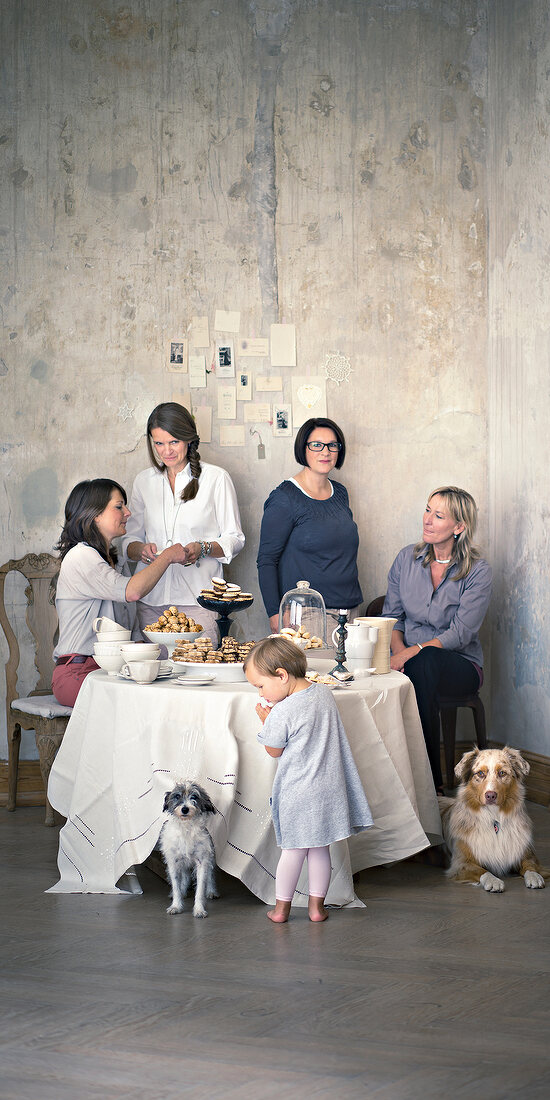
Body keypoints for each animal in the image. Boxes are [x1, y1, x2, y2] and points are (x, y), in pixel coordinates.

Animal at [158, 783, 217, 919]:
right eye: (177, 796)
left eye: (194, 796)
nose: (185, 809)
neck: (186, 828)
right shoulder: (173, 863)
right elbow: (176, 887)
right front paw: (176, 906)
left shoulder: (202, 862)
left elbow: (200, 889)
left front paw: (199, 909)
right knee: (184, 877)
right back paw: (183, 891)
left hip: (210, 859)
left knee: (210, 875)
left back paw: (211, 891)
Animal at [437, 748, 545, 893]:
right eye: (480, 773)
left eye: (502, 773)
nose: (490, 795)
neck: (494, 818)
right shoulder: (460, 863)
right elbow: (483, 871)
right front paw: (494, 881)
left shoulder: (523, 853)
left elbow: (530, 865)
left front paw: (535, 877)